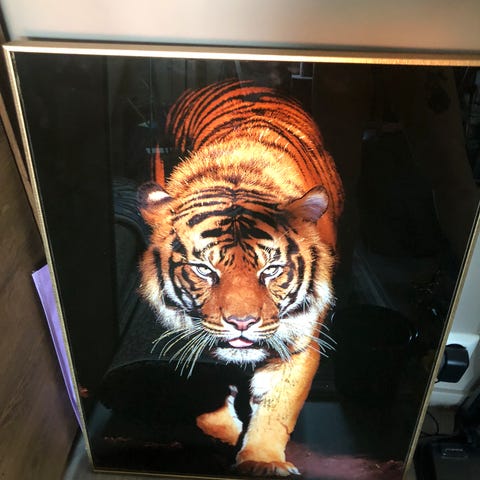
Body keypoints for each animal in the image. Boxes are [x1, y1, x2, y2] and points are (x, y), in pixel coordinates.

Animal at [138, 79, 343, 477]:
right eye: (205, 270)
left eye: (270, 270)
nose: (242, 323)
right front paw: (224, 436)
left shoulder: (298, 342)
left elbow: (277, 409)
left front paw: (262, 461)